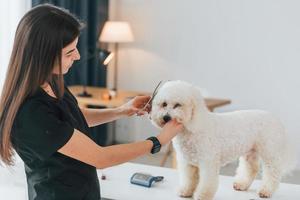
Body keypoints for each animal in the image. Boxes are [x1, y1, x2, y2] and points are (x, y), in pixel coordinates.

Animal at [150, 80, 296, 200]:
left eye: (177, 105)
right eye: (164, 104)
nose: (166, 117)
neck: (194, 126)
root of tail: (276, 119)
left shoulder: (208, 162)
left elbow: (207, 182)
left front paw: (202, 196)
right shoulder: (188, 163)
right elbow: (189, 179)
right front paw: (186, 192)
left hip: (270, 152)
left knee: (273, 172)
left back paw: (266, 191)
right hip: (251, 151)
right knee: (251, 169)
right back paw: (242, 184)